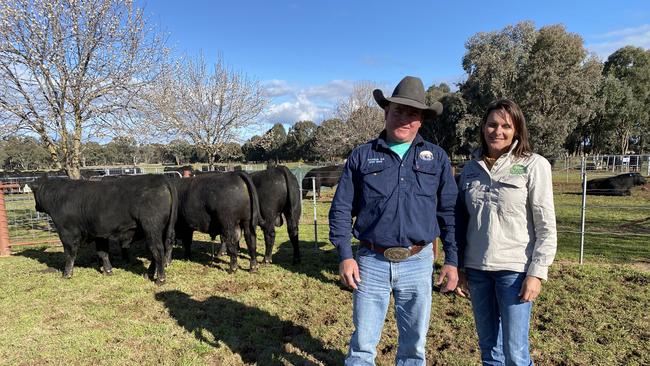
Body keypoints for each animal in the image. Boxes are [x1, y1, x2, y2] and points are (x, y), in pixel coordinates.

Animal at [29, 176, 176, 284]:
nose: (36, 206)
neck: (59, 197)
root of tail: (160, 178)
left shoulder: (67, 233)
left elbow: (70, 254)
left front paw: (67, 274)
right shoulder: (100, 234)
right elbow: (103, 253)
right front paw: (108, 271)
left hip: (151, 228)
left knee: (157, 250)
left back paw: (160, 279)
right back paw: (149, 274)